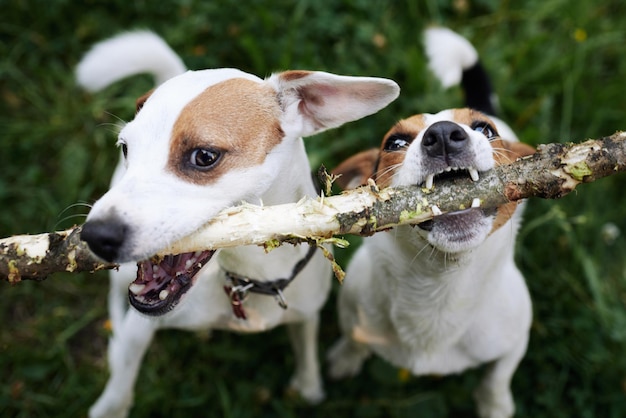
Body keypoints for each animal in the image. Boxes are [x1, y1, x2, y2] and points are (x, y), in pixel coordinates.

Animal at [75, 31, 398, 416]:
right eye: (126, 149)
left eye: (204, 156)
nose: (96, 236)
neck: (246, 278)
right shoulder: (141, 330)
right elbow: (122, 378)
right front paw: (111, 404)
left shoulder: (306, 314)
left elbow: (306, 351)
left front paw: (309, 387)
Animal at [324, 27, 532, 418]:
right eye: (395, 142)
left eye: (485, 129)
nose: (445, 134)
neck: (440, 286)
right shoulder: (353, 309)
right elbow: (353, 339)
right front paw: (346, 358)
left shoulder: (515, 338)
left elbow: (498, 376)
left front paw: (494, 404)